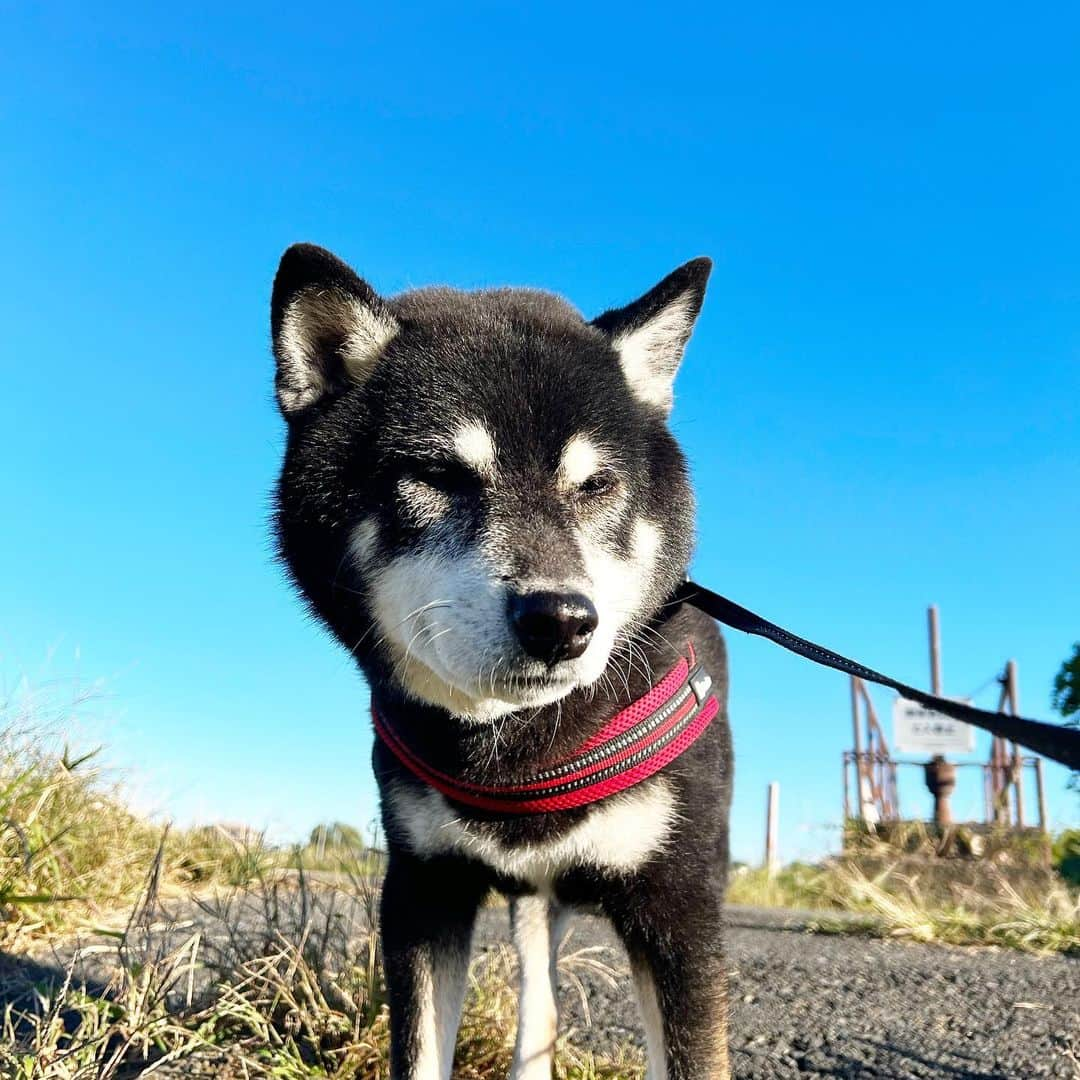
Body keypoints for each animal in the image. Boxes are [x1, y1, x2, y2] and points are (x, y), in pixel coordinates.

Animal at [270, 245, 734, 1080]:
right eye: (439, 476)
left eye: (597, 485)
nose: (561, 621)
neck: (517, 748)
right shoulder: (424, 890)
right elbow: (422, 1054)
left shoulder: (679, 908)